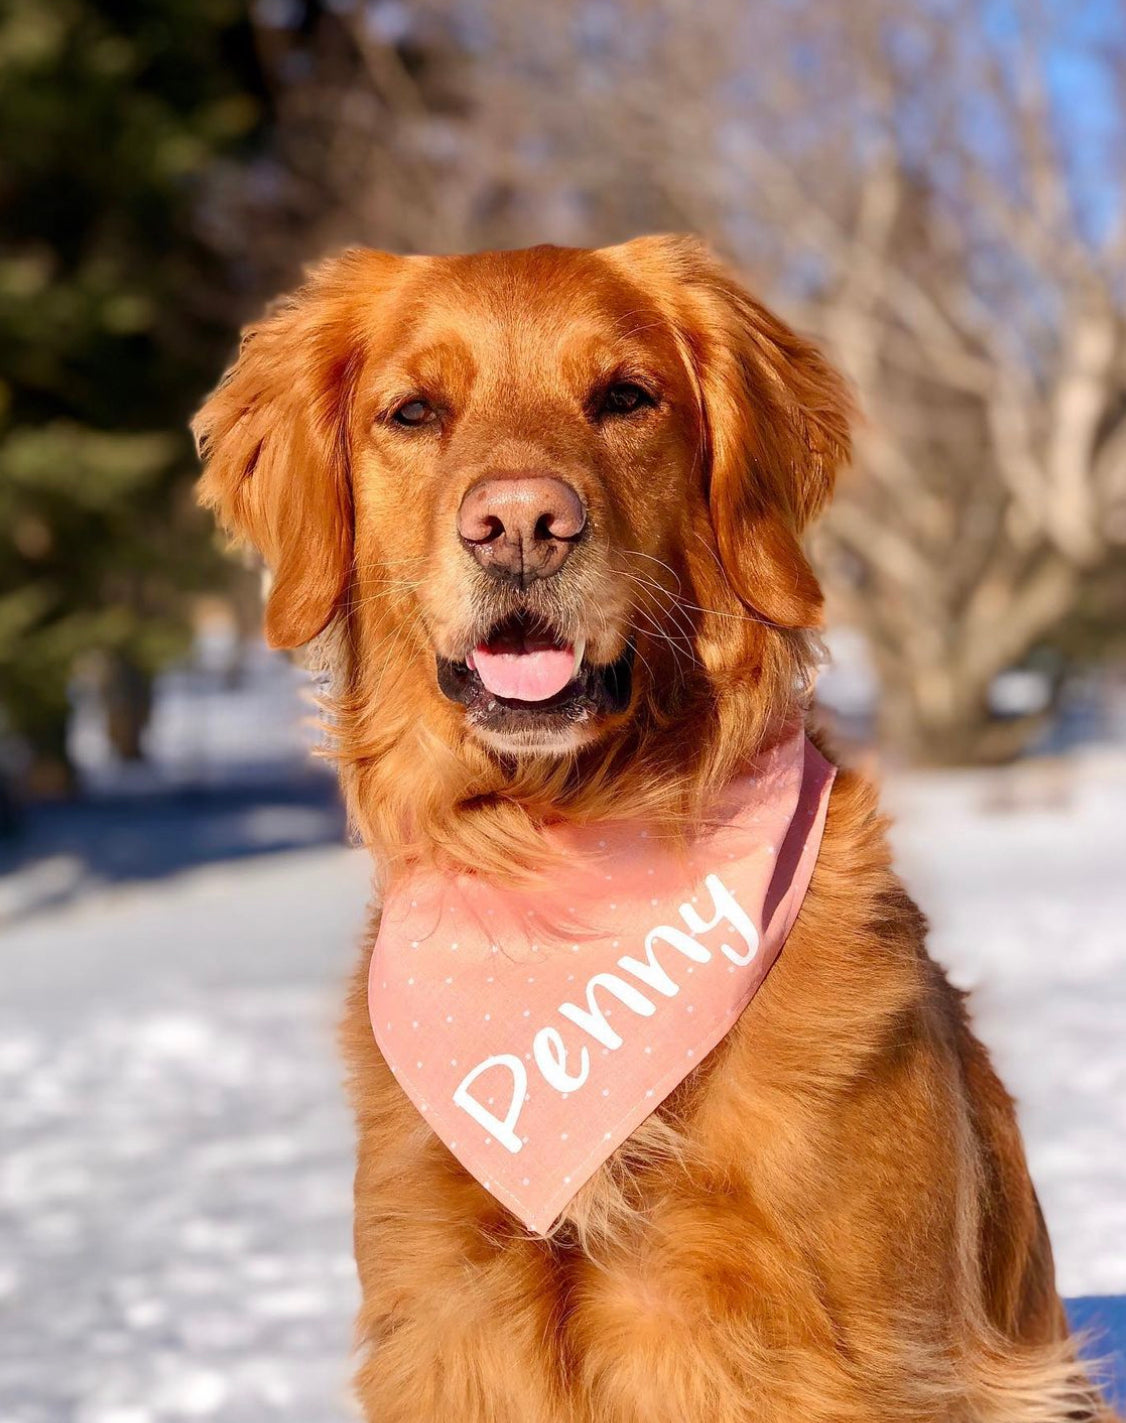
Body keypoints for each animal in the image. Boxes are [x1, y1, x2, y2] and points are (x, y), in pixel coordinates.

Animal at [192, 239, 1110, 1423]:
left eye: (625, 397)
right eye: (414, 411)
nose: (521, 524)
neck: (564, 847)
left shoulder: (856, 1350)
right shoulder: (447, 1323)